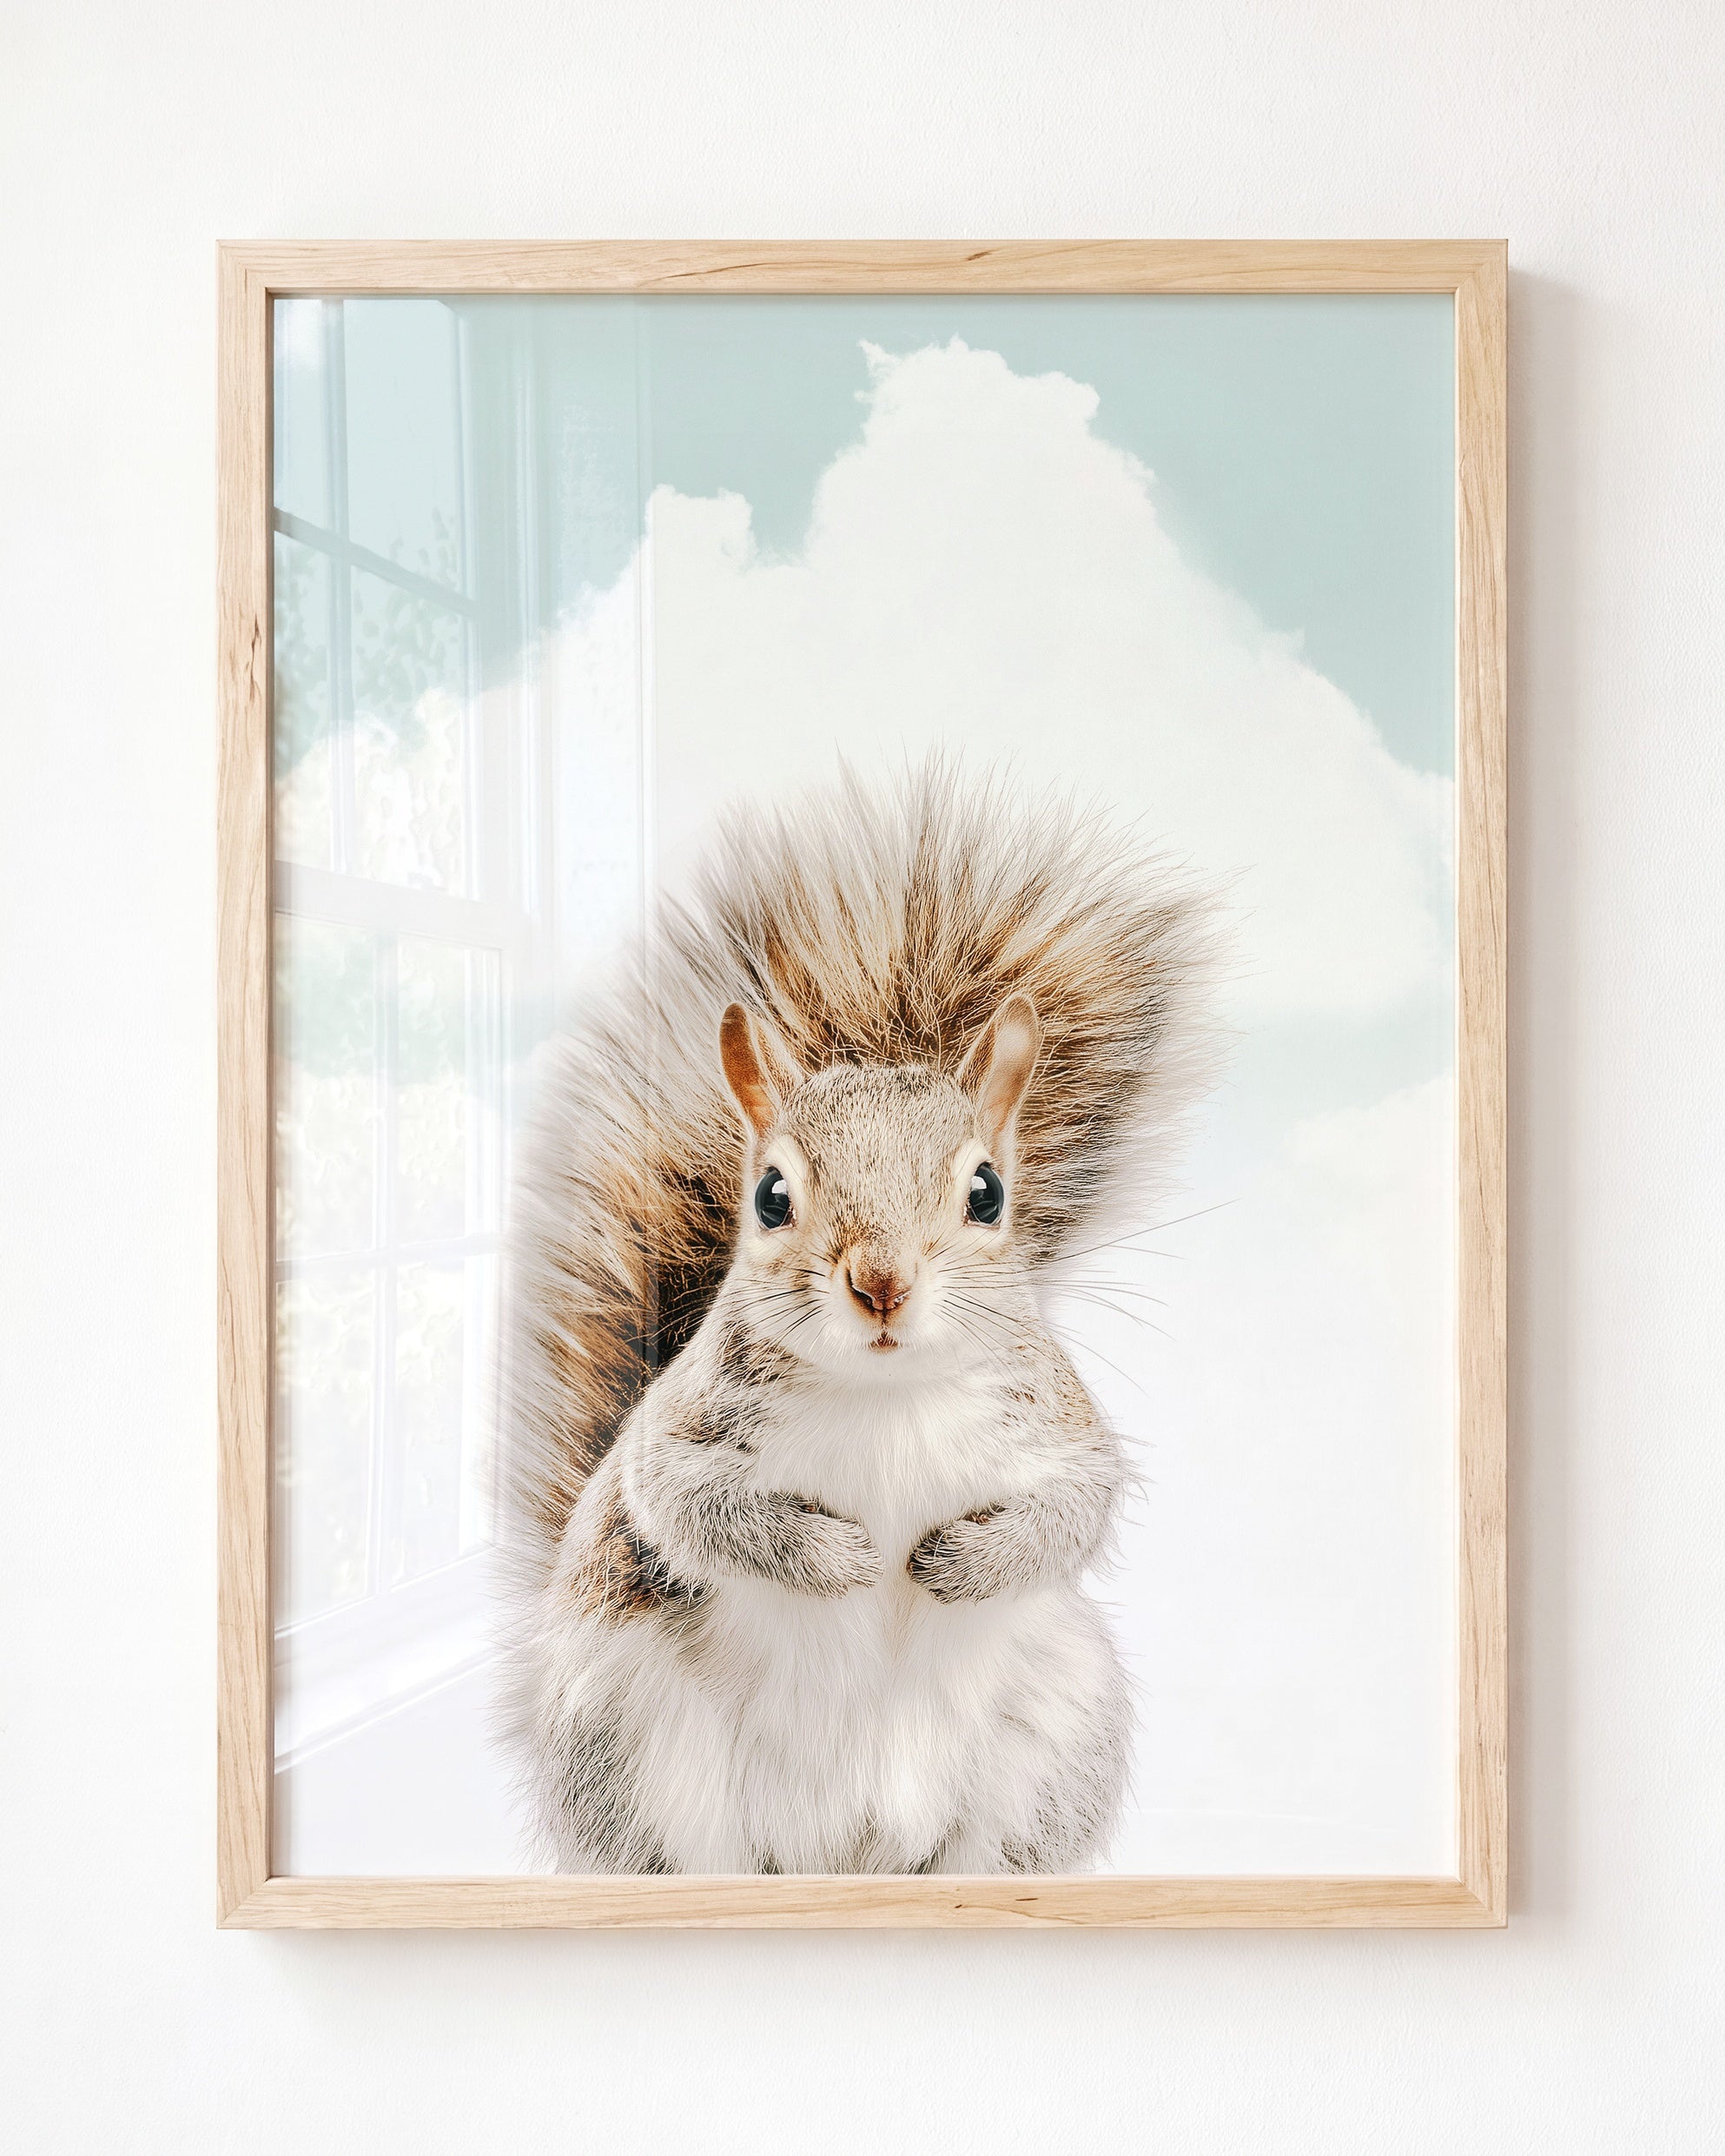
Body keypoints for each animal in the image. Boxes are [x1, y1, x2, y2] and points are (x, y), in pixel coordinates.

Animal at [495, 762, 1217, 1875]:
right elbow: (694, 1509)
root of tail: (844, 1852)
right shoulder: (675, 1440)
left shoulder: (1060, 1429)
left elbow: (1074, 1509)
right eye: (770, 1198)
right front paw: (840, 1559)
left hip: (1051, 1739)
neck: (886, 1394)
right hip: (634, 1749)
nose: (881, 1283)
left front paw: (958, 1563)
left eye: (987, 1194)